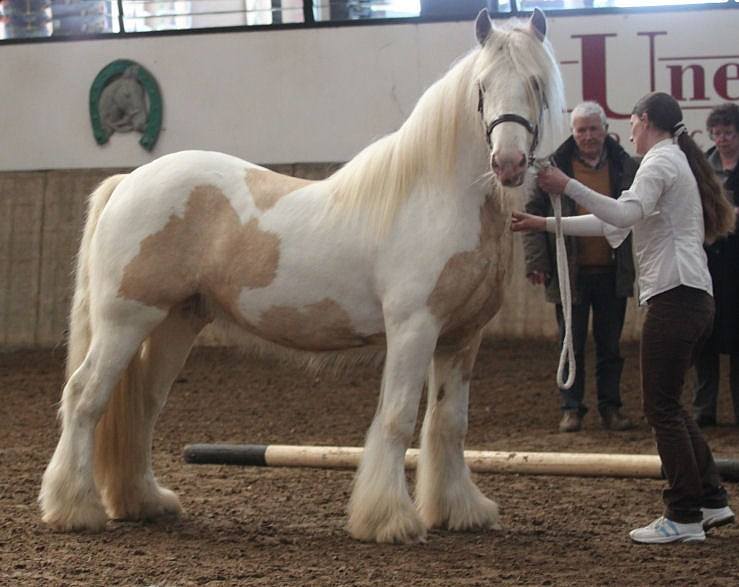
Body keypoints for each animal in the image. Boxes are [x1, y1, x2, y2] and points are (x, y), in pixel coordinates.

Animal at [37, 6, 564, 544]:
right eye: (482, 86)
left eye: (536, 83)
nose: (508, 163)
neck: (438, 198)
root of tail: (129, 181)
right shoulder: (413, 329)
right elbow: (397, 420)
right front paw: (389, 519)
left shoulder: (461, 337)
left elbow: (448, 423)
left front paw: (460, 510)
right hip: (126, 320)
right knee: (84, 397)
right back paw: (73, 508)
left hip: (175, 323)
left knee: (143, 405)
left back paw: (145, 501)